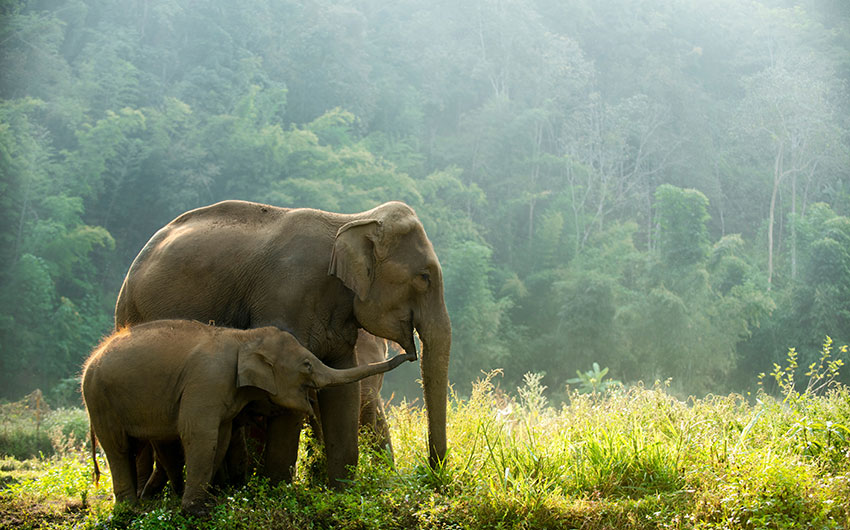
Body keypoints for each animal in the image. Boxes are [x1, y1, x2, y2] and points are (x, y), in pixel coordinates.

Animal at [82, 319, 414, 515]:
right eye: (307, 365)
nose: (409, 354)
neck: (244, 339)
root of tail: (91, 359)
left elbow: (221, 436)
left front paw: (211, 499)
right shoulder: (207, 381)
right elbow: (199, 434)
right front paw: (195, 511)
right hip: (98, 397)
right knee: (118, 447)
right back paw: (128, 510)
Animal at [114, 200, 451, 487]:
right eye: (424, 277)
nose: (432, 474)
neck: (351, 219)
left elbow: (344, 391)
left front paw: (341, 492)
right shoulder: (286, 300)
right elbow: (289, 390)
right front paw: (278, 489)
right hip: (131, 314)